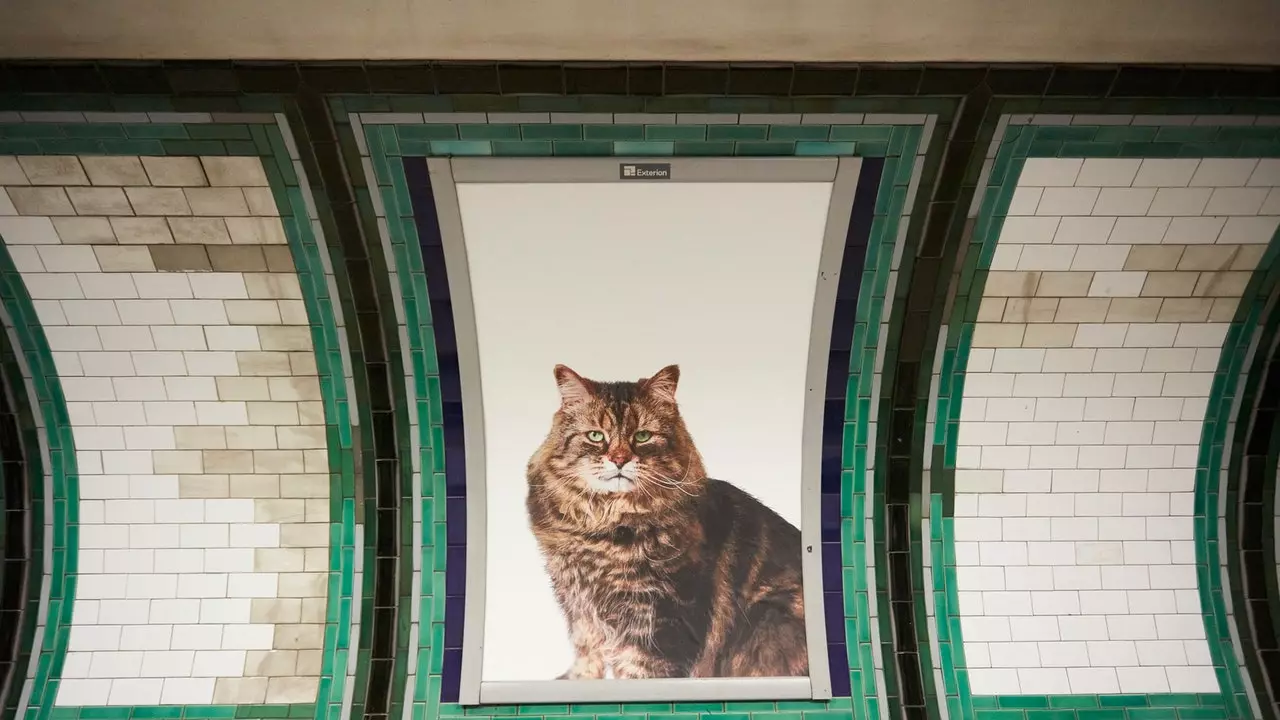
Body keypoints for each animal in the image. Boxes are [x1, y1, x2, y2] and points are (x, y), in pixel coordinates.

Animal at [524, 363, 803, 676]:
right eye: (596, 436)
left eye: (642, 436)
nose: (619, 460)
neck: (603, 530)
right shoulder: (579, 607)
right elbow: (587, 655)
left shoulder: (660, 622)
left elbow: (639, 670)